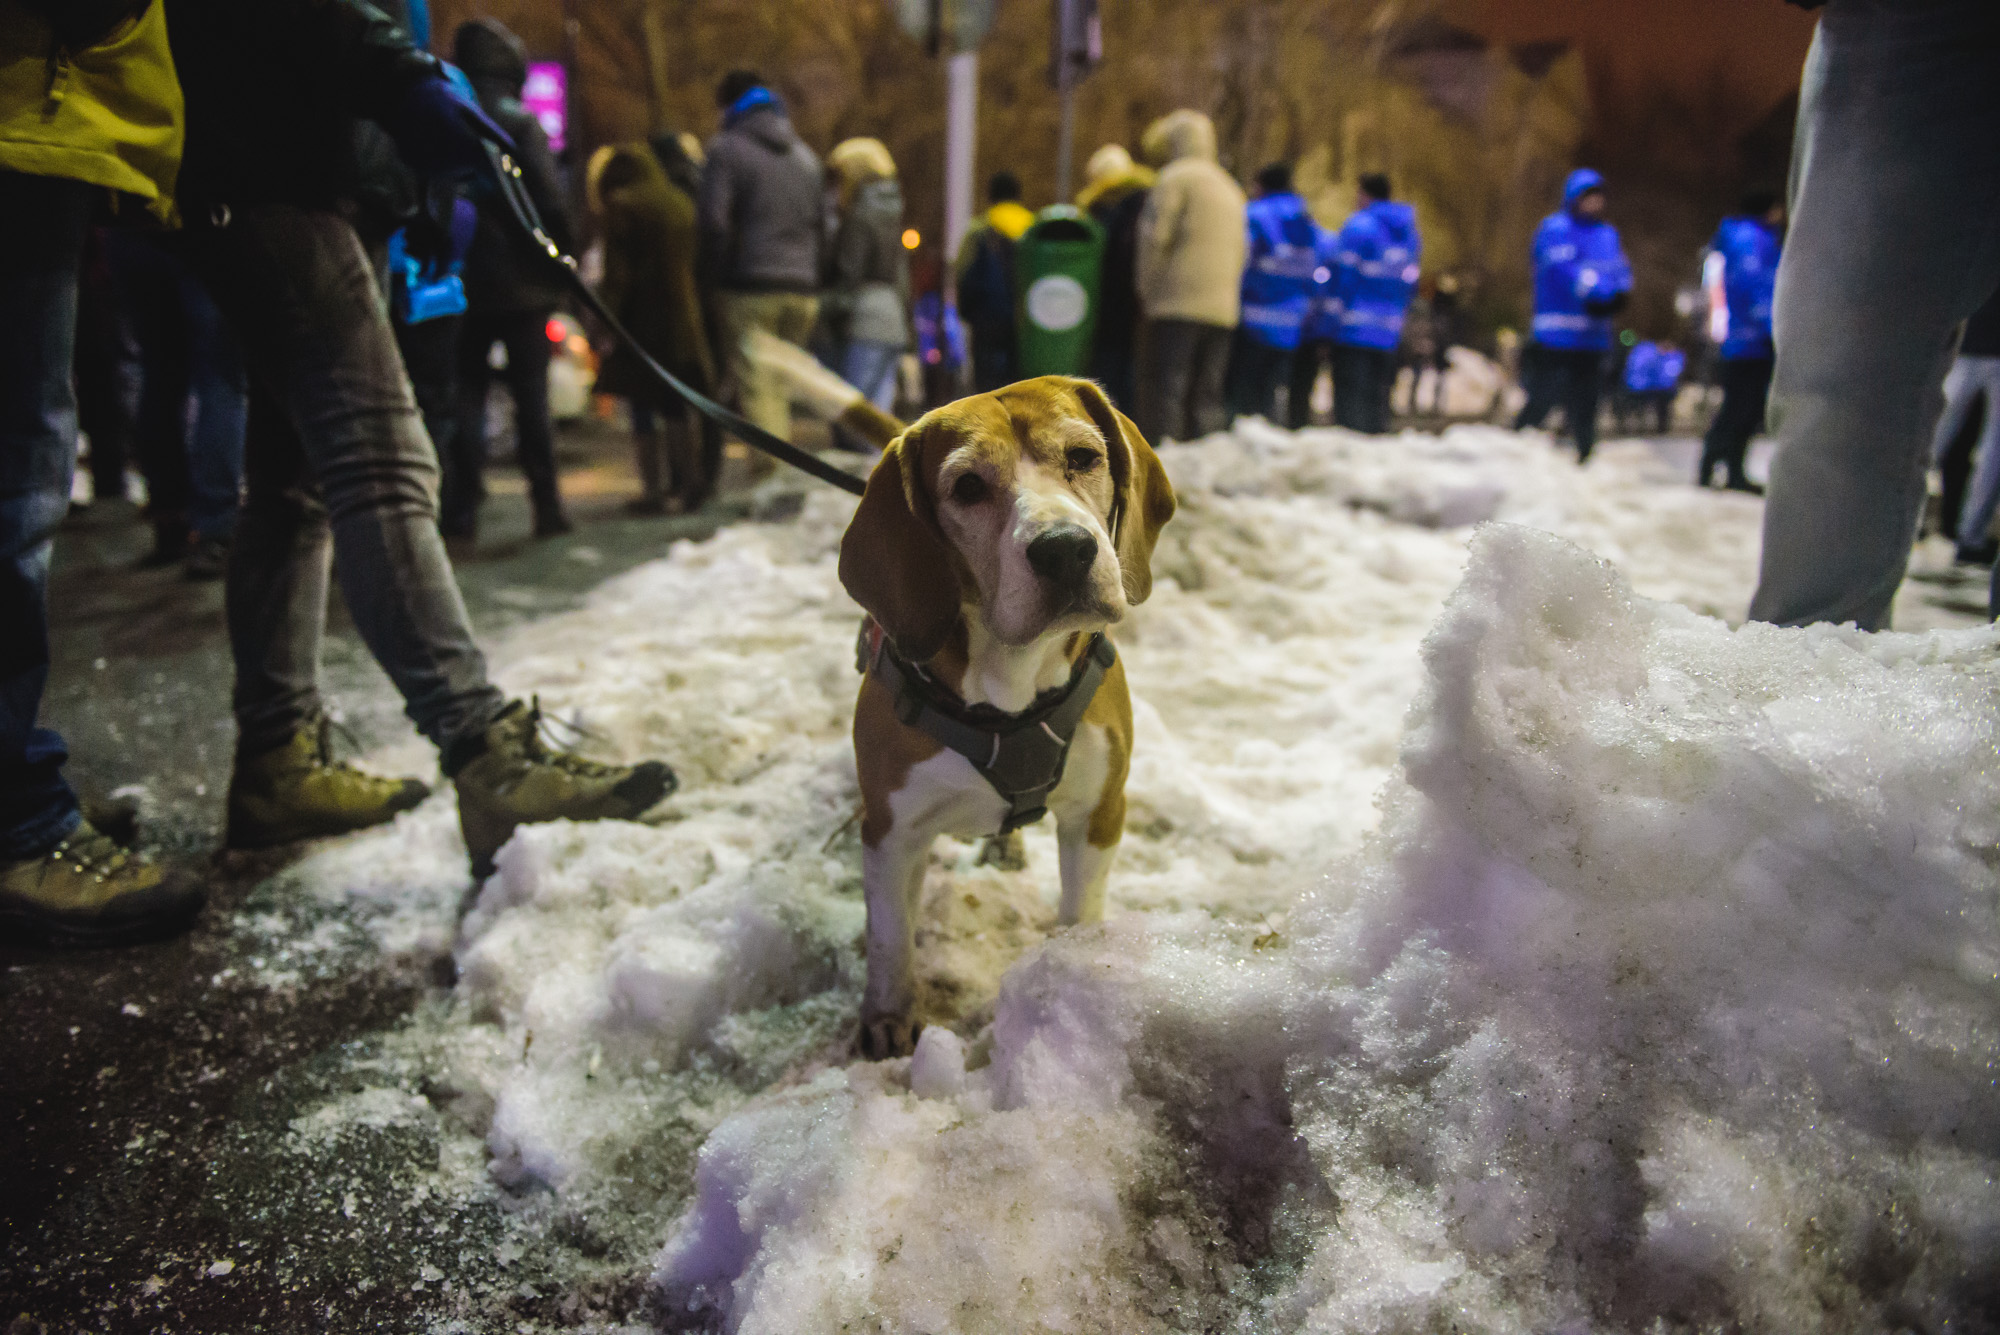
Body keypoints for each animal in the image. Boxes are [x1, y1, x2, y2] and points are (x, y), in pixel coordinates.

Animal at [836, 379, 1176, 1055]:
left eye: (1083, 456)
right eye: (967, 486)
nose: (1066, 550)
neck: (1011, 686)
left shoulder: (1099, 811)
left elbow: (1080, 915)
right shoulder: (890, 830)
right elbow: (890, 940)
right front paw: (886, 1018)